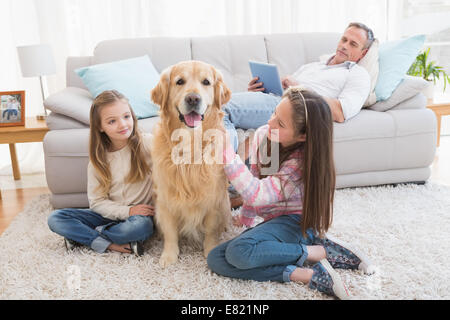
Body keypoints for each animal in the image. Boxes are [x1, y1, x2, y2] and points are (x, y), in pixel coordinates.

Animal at [151, 60, 232, 268]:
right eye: (180, 81)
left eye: (206, 82)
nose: (193, 99)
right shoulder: (166, 197)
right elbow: (170, 231)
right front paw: (169, 256)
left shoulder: (214, 198)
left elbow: (211, 229)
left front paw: (210, 250)